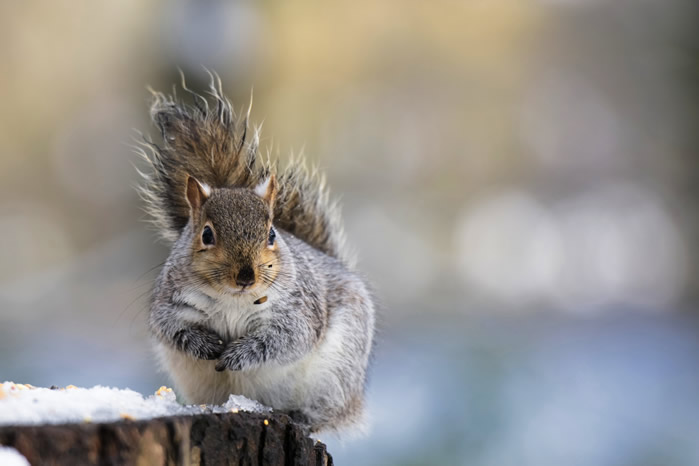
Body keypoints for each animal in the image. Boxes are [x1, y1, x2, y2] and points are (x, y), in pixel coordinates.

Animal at [137, 74, 378, 436]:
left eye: (272, 234)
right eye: (206, 234)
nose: (246, 276)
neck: (232, 299)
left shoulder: (297, 310)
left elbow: (287, 340)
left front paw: (240, 354)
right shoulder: (171, 302)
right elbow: (171, 328)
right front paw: (204, 344)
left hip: (336, 376)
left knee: (325, 417)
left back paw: (301, 417)